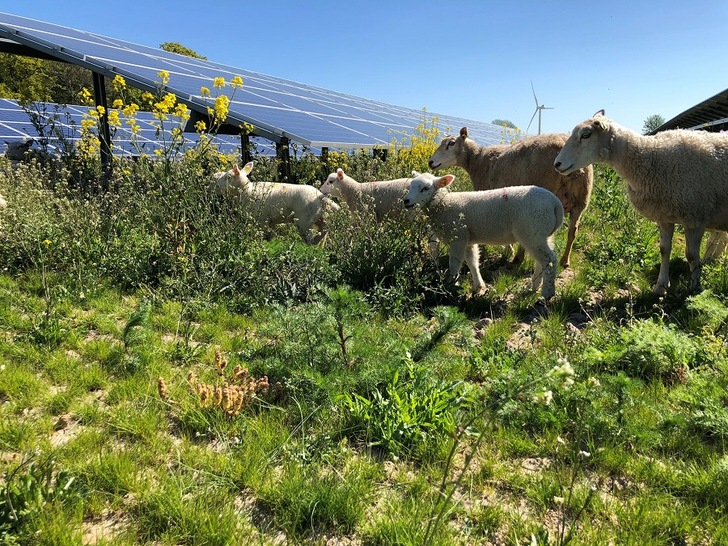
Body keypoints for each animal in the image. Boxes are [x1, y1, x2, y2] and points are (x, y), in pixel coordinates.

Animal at [403, 171, 564, 299]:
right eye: (410, 186)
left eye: (425, 188)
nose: (406, 201)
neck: (445, 204)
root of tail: (555, 203)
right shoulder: (467, 240)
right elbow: (472, 262)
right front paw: (479, 286)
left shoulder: (458, 238)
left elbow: (454, 264)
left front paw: (451, 286)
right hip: (542, 233)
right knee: (542, 260)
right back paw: (534, 286)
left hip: (532, 231)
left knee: (549, 259)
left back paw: (547, 292)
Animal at [428, 127, 592, 268]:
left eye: (451, 143)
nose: (430, 162)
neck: (477, 160)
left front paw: (508, 250)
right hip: (581, 200)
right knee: (573, 231)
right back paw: (565, 260)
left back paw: (517, 258)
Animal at [554, 112, 728, 295]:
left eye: (586, 135)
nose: (557, 164)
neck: (650, 158)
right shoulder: (665, 216)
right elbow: (664, 250)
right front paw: (660, 287)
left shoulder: (694, 217)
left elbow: (692, 255)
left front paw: (694, 289)